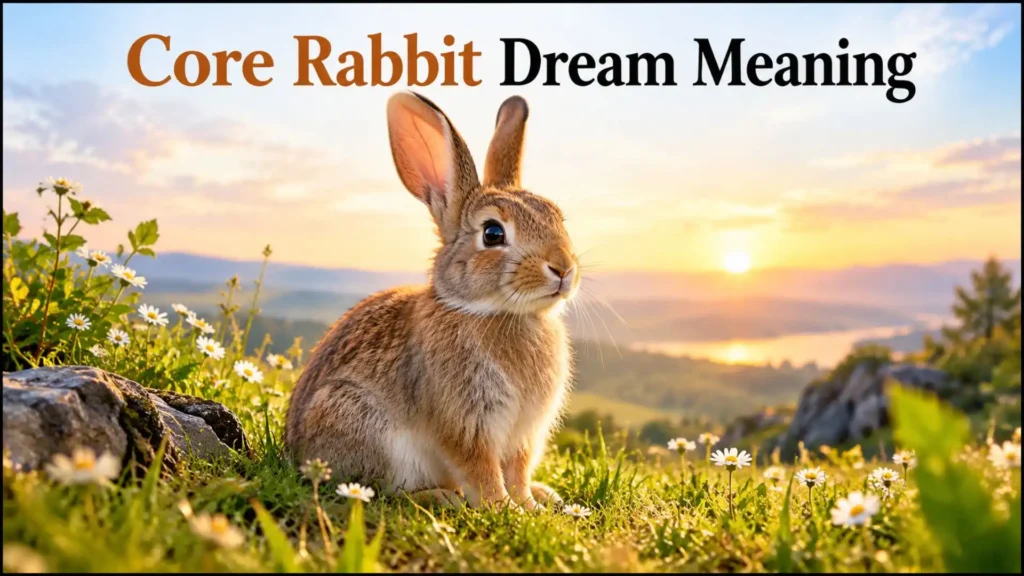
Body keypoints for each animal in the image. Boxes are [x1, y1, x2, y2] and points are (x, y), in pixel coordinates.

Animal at [284, 92, 581, 510]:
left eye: (558, 217)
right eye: (492, 233)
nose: (563, 268)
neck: (498, 312)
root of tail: (296, 454)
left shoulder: (524, 434)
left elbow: (518, 471)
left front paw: (528, 505)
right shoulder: (467, 422)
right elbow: (482, 470)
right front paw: (505, 508)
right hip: (364, 426)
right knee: (386, 490)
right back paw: (444, 497)